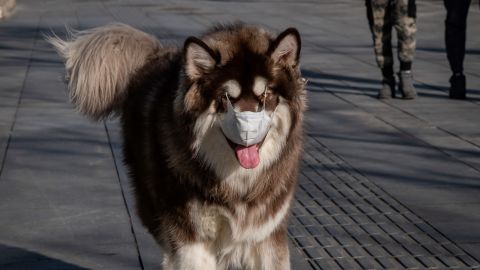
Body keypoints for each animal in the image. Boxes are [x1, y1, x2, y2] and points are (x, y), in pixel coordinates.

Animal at [48, 23, 304, 270]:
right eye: (226, 99)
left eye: (266, 95)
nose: (247, 133)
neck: (237, 183)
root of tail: (158, 53)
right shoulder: (191, 237)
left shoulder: (267, 236)